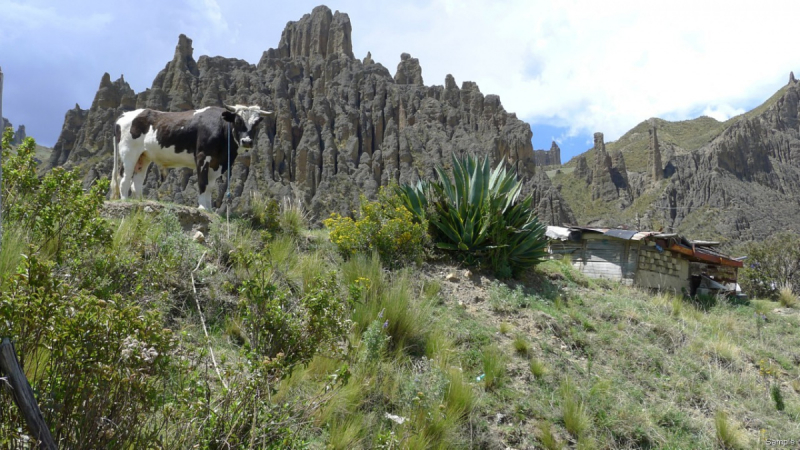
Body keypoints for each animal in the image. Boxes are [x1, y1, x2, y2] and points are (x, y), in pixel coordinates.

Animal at [109, 104, 272, 210]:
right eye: (238, 121)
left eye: (256, 124)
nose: (247, 141)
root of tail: (124, 115)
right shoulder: (202, 157)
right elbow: (202, 183)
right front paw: (202, 207)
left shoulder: (218, 163)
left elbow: (210, 186)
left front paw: (209, 209)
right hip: (128, 152)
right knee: (124, 178)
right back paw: (125, 201)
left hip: (143, 156)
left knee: (136, 181)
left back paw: (139, 202)